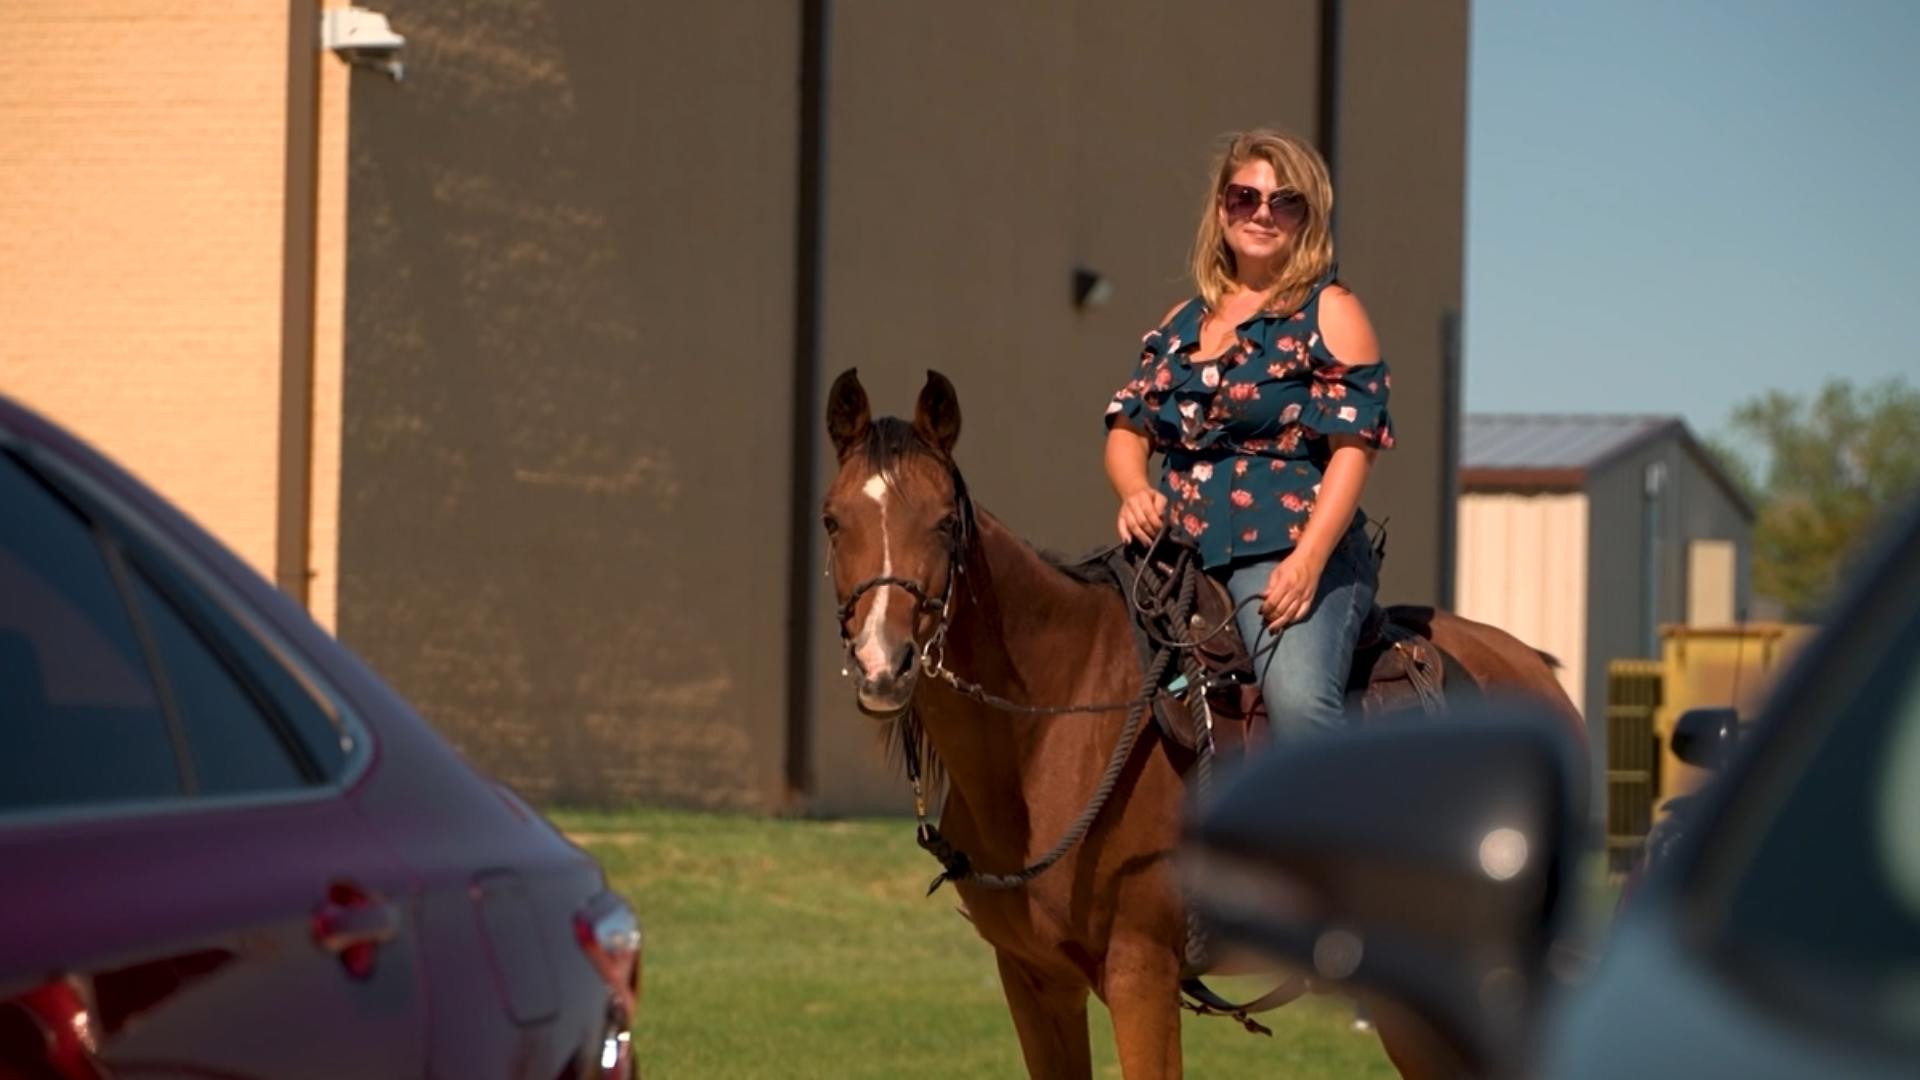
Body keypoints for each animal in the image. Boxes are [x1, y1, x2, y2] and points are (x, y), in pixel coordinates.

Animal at [825, 365, 1589, 1068]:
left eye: (944, 524)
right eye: (833, 520)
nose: (883, 662)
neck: (1053, 727)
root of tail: (1532, 669)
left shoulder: (1141, 975)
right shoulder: (1034, 981)